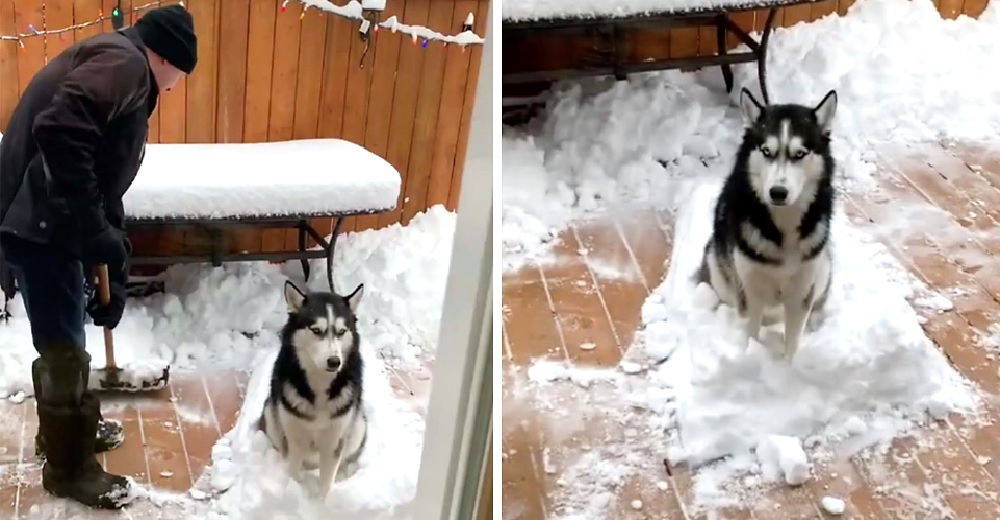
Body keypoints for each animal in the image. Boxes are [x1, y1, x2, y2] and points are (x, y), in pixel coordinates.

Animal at [260, 278, 370, 498]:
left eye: (341, 331)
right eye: (316, 330)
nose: (334, 362)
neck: (320, 383)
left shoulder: (334, 440)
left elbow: (326, 483)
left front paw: (320, 501)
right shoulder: (295, 436)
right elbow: (294, 471)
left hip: (358, 425)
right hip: (270, 411)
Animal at [700, 86, 840, 362]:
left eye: (800, 154)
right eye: (766, 151)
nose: (778, 192)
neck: (782, 226)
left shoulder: (801, 292)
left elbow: (793, 342)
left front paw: (787, 366)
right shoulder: (749, 290)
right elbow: (751, 331)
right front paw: (751, 356)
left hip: (823, 267)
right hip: (716, 263)